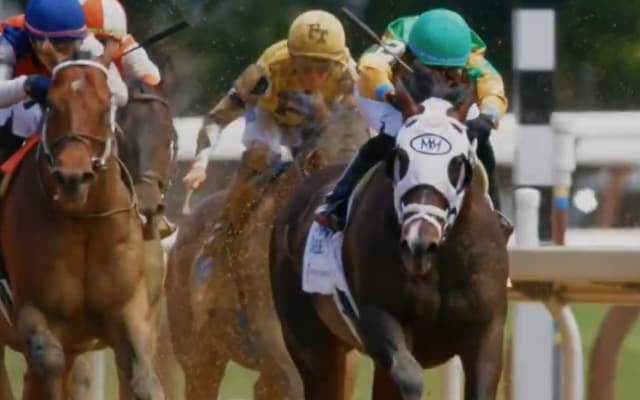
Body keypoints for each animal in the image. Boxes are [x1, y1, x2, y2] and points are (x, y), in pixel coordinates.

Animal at [0, 53, 164, 400]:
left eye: (105, 107)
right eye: (51, 104)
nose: (72, 177)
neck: (84, 221)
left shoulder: (131, 311)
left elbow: (144, 381)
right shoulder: (32, 311)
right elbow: (47, 361)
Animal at [270, 77, 509, 399]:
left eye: (457, 163)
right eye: (401, 157)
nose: (418, 243)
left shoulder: (487, 330)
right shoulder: (379, 317)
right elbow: (409, 378)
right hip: (311, 344)